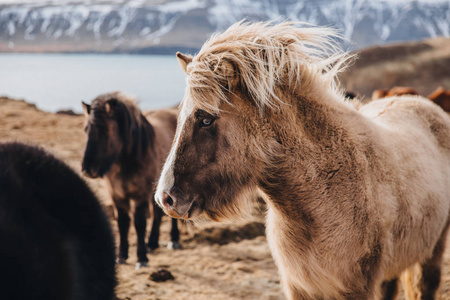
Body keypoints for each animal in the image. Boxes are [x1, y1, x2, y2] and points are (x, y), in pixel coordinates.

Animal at [81, 92, 180, 268]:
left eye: (105, 131)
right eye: (86, 130)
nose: (88, 169)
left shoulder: (140, 195)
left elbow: (139, 223)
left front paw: (141, 258)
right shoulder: (117, 196)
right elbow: (123, 223)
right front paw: (121, 256)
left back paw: (173, 240)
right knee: (156, 213)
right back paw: (152, 244)